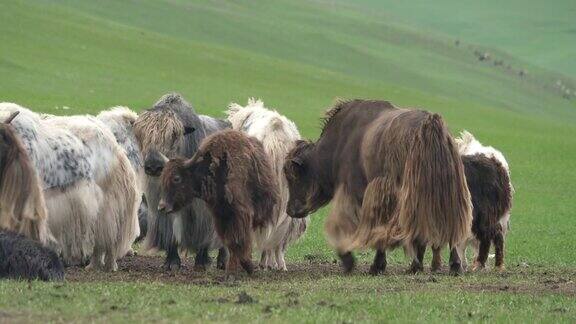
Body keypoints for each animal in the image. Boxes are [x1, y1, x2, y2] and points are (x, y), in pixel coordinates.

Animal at [159, 130, 278, 274]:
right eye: (163, 177)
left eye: (177, 178)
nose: (162, 206)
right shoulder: (220, 214)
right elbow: (230, 241)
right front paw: (242, 266)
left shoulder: (240, 213)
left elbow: (236, 240)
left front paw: (238, 269)